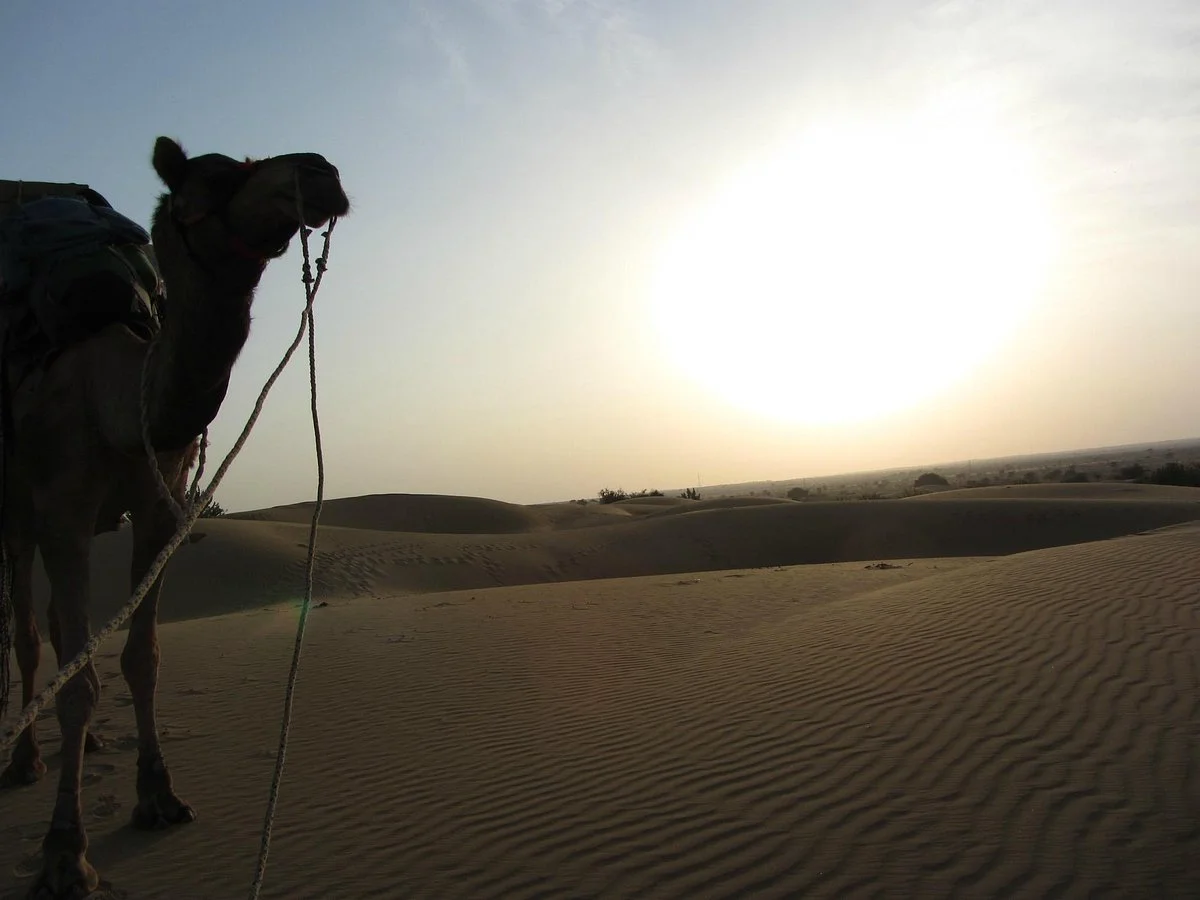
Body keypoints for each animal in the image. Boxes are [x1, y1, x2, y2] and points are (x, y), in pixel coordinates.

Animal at [0, 137, 349, 898]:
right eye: (212, 179)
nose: (322, 170)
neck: (114, 397)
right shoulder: (62, 507)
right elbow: (79, 677)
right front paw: (65, 852)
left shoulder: (163, 505)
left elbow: (143, 658)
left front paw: (158, 795)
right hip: (14, 520)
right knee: (31, 637)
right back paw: (24, 758)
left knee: (64, 631)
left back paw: (87, 743)